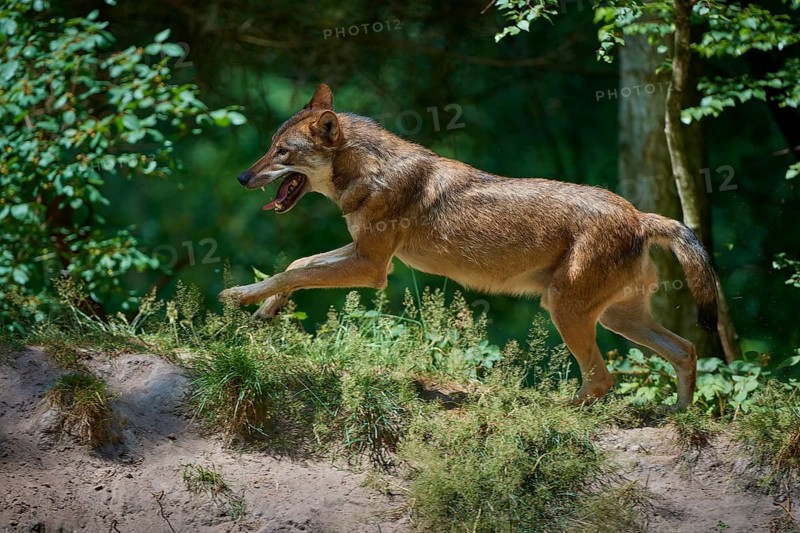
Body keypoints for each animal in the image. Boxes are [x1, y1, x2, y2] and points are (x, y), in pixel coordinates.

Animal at [219, 83, 718, 408]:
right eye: (269, 146)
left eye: (282, 152)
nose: (241, 177)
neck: (369, 171)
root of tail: (639, 216)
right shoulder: (364, 254)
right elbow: (297, 265)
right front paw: (265, 311)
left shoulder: (372, 266)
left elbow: (293, 270)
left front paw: (238, 297)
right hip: (617, 317)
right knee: (685, 351)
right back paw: (678, 415)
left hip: (565, 310)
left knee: (601, 380)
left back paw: (549, 413)